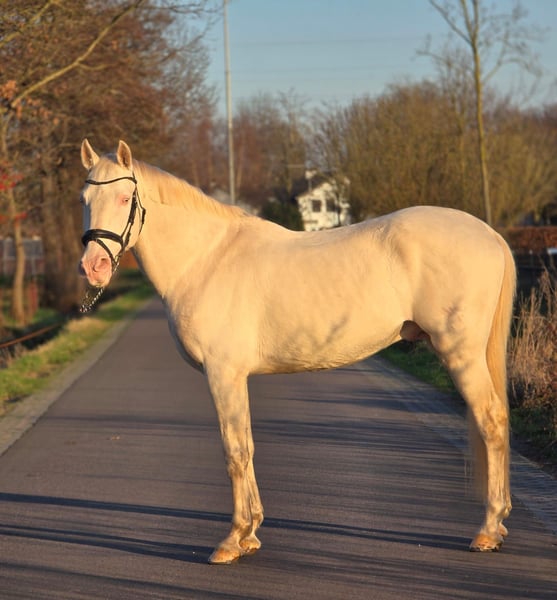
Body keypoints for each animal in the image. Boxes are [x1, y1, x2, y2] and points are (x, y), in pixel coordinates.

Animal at [78, 139, 516, 564]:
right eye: (85, 198)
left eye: (124, 198)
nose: (94, 266)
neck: (206, 259)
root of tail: (489, 235)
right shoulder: (236, 377)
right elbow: (248, 446)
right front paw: (251, 534)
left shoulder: (223, 374)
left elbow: (234, 451)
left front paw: (232, 540)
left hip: (461, 352)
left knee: (491, 421)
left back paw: (488, 531)